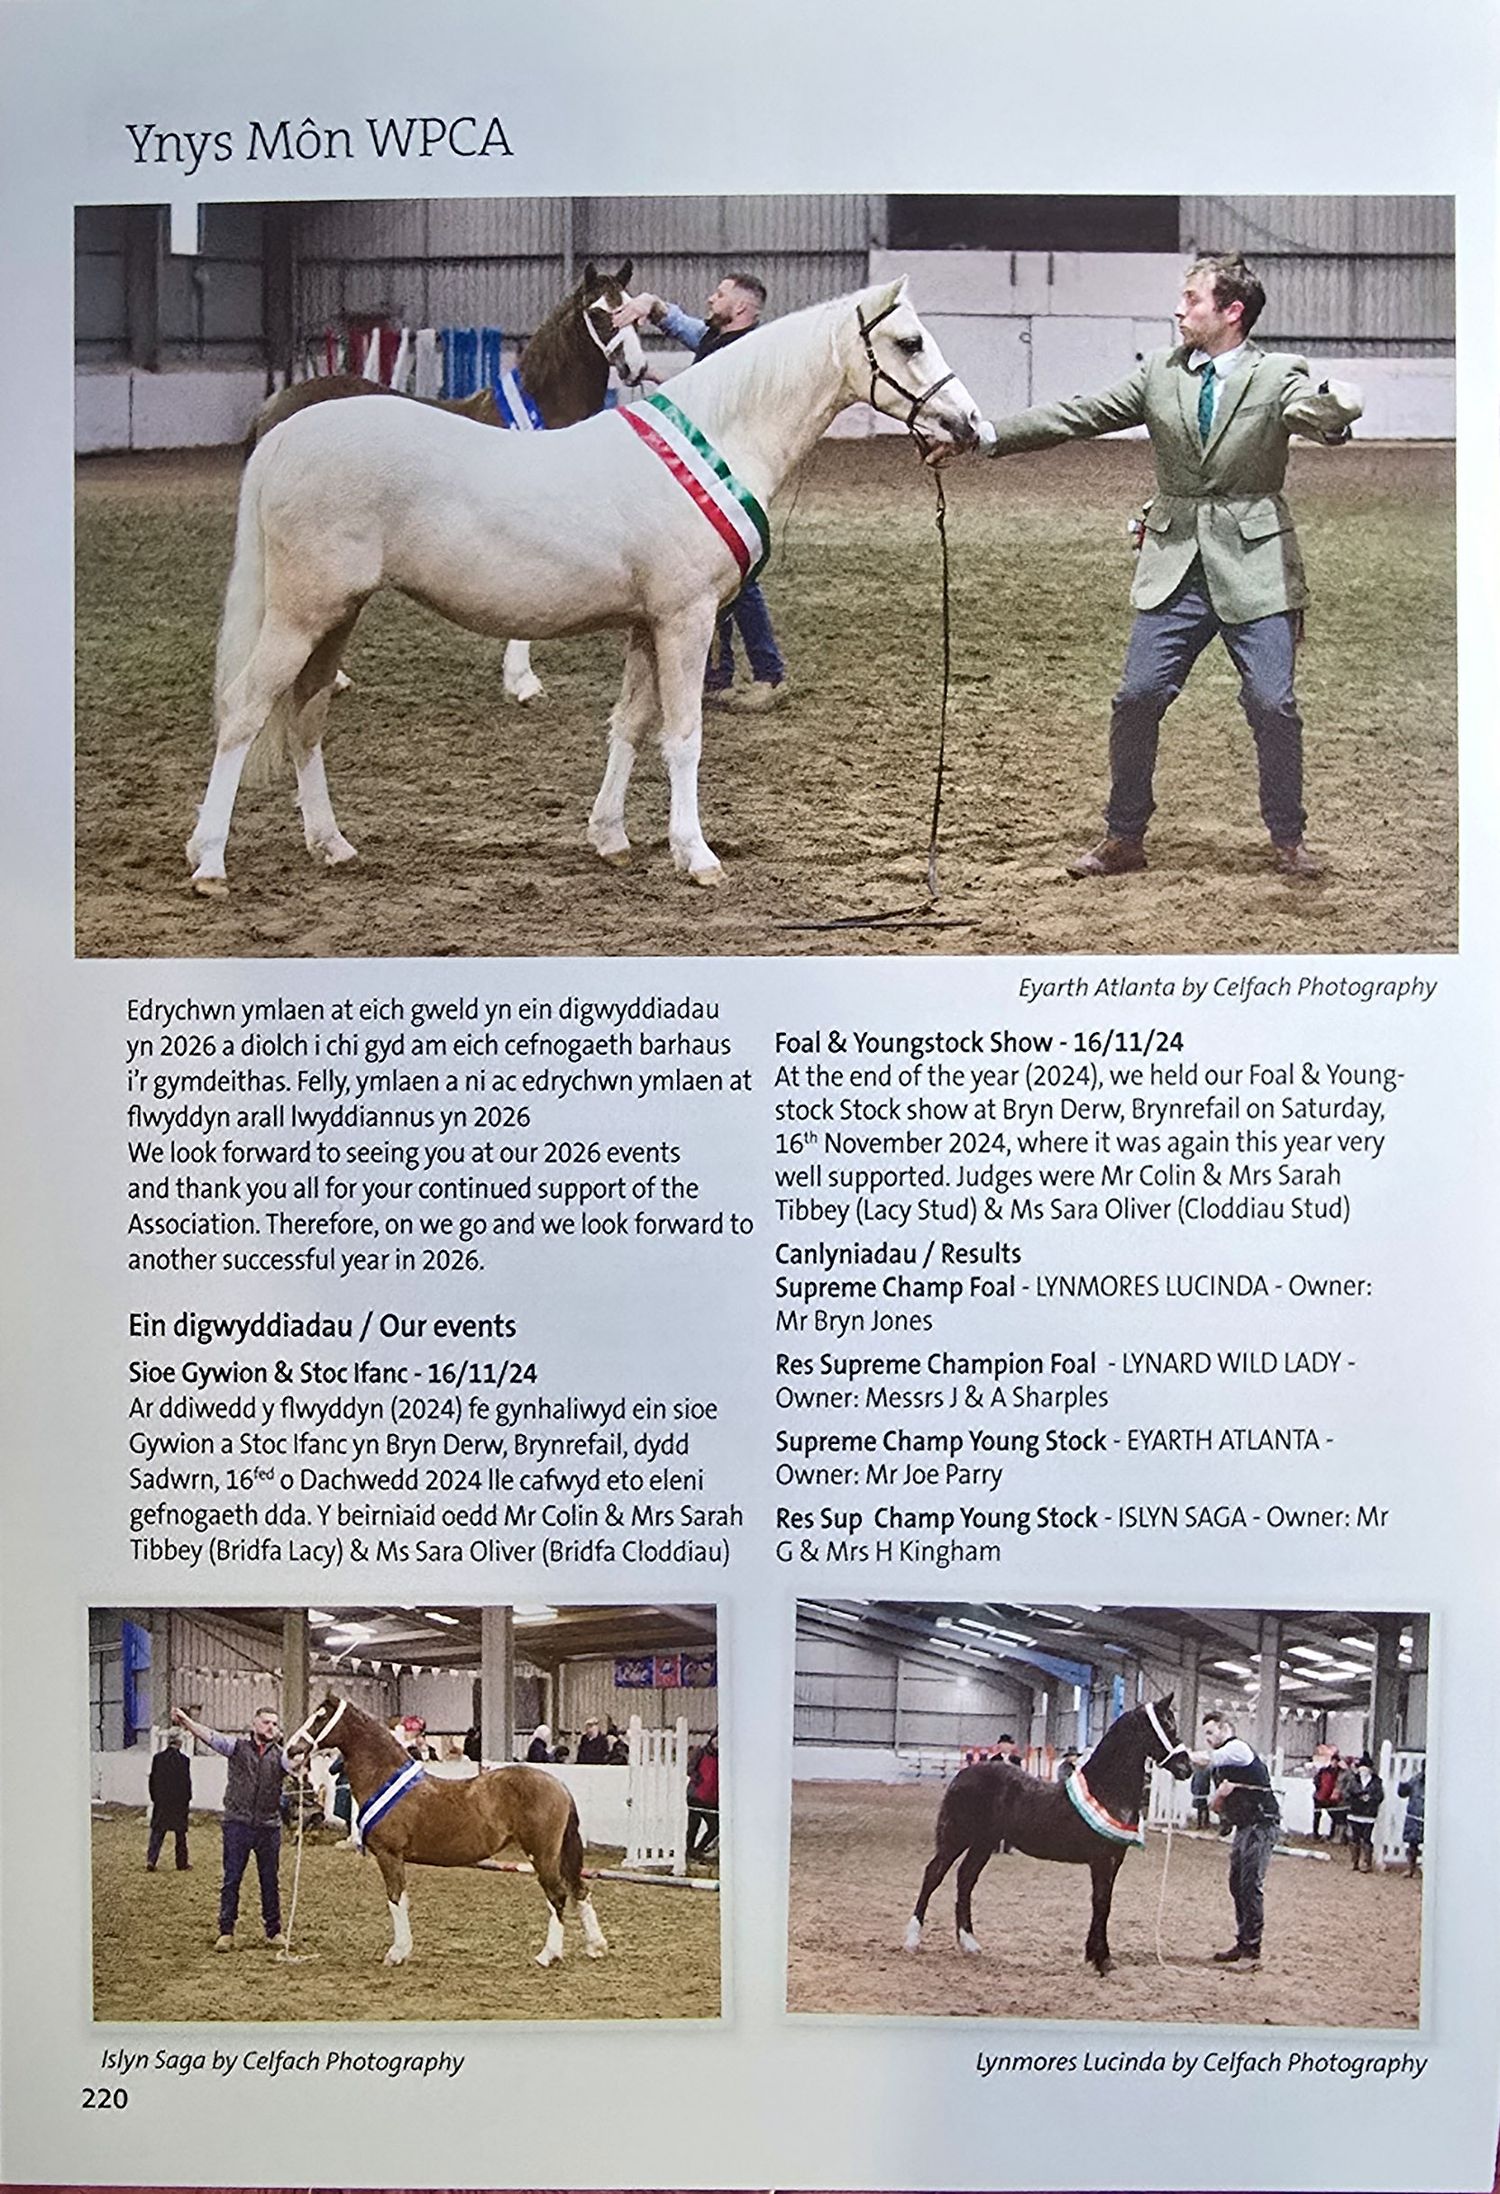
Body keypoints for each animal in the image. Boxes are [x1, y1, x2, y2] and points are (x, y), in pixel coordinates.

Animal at [286, 1692, 607, 1969]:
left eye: (319, 1717)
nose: (291, 1750)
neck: (386, 1778)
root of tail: (559, 1786)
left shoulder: (389, 1855)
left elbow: (395, 1899)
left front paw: (397, 1953)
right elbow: (401, 1899)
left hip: (541, 1854)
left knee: (558, 1895)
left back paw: (548, 1955)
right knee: (579, 1889)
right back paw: (595, 1946)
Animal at [904, 1696, 1194, 1975]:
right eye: (1168, 1726)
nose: (1186, 1768)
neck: (1105, 1791)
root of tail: (962, 1775)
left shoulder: (1114, 1860)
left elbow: (1104, 1904)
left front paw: (1095, 1956)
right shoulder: (1101, 1860)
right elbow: (1101, 1903)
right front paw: (1102, 1961)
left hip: (983, 1844)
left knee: (965, 1879)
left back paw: (969, 1942)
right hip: (956, 1838)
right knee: (933, 1874)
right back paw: (912, 1940)